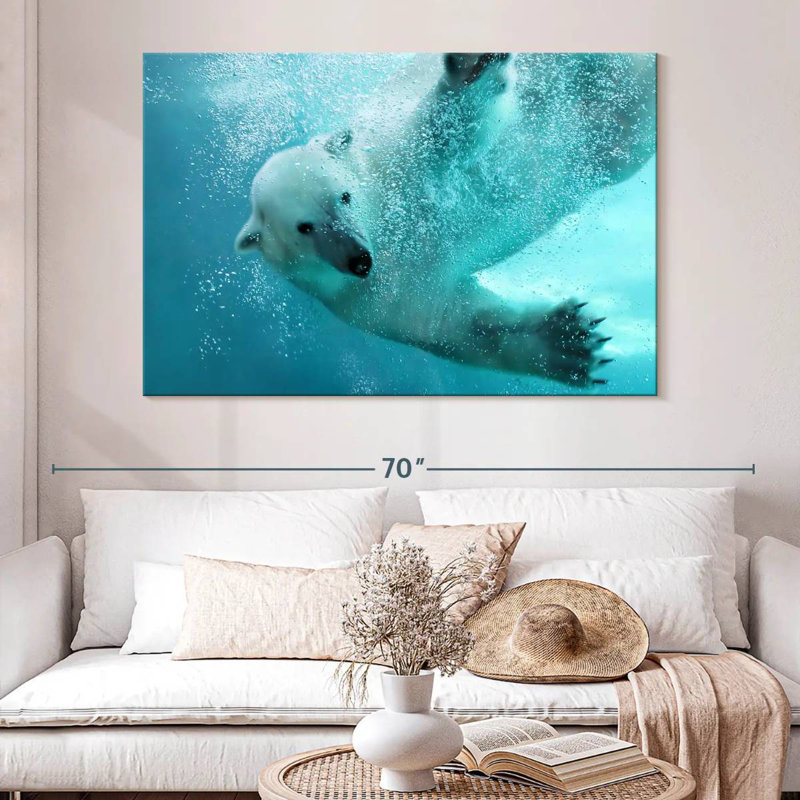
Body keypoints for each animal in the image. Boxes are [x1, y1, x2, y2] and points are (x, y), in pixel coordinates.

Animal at [235, 52, 655, 386]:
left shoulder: (399, 158)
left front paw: (471, 66)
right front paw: (569, 342)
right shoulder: (375, 300)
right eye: (304, 228)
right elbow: (460, 324)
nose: (359, 260)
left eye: (344, 196)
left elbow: (451, 129)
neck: (385, 224)